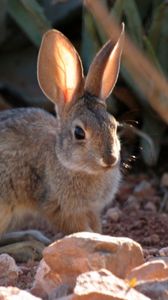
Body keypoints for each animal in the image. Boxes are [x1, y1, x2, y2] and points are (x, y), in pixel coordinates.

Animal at [0, 24, 124, 236]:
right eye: (79, 133)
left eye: (114, 126)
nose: (110, 159)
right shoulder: (59, 208)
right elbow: (79, 229)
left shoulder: (91, 210)